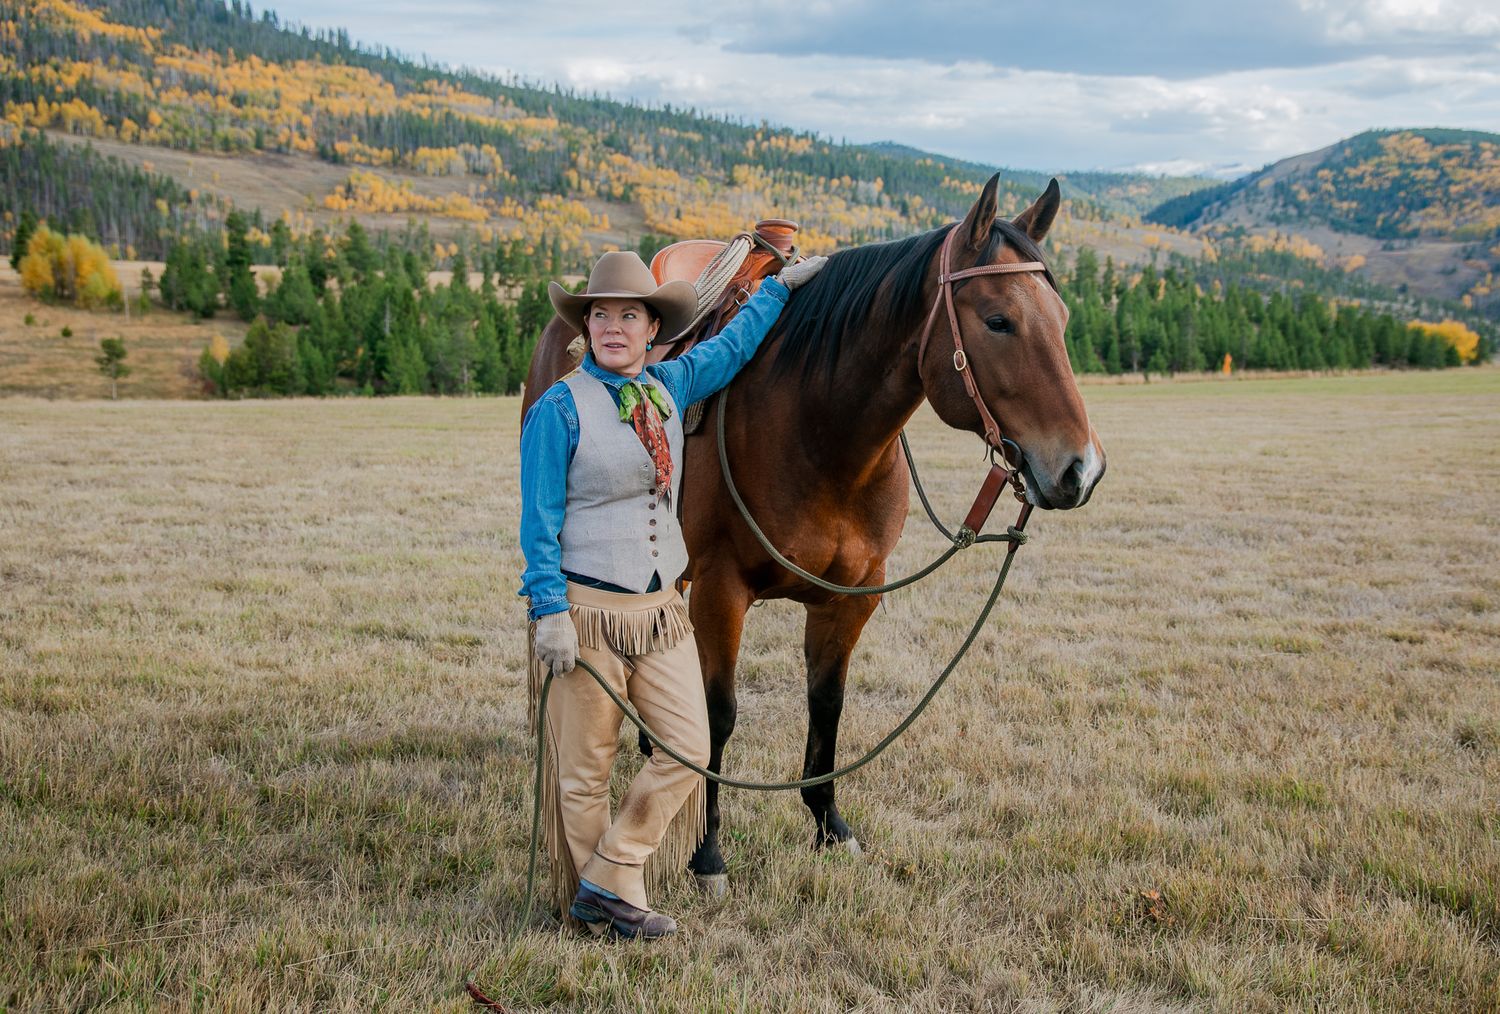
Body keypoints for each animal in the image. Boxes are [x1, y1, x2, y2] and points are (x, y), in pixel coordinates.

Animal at [521, 173, 1106, 891]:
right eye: (998, 320)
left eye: (1063, 320)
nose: (1080, 468)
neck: (819, 432)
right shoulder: (722, 591)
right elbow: (719, 715)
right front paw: (707, 853)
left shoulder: (851, 596)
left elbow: (827, 702)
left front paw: (830, 825)